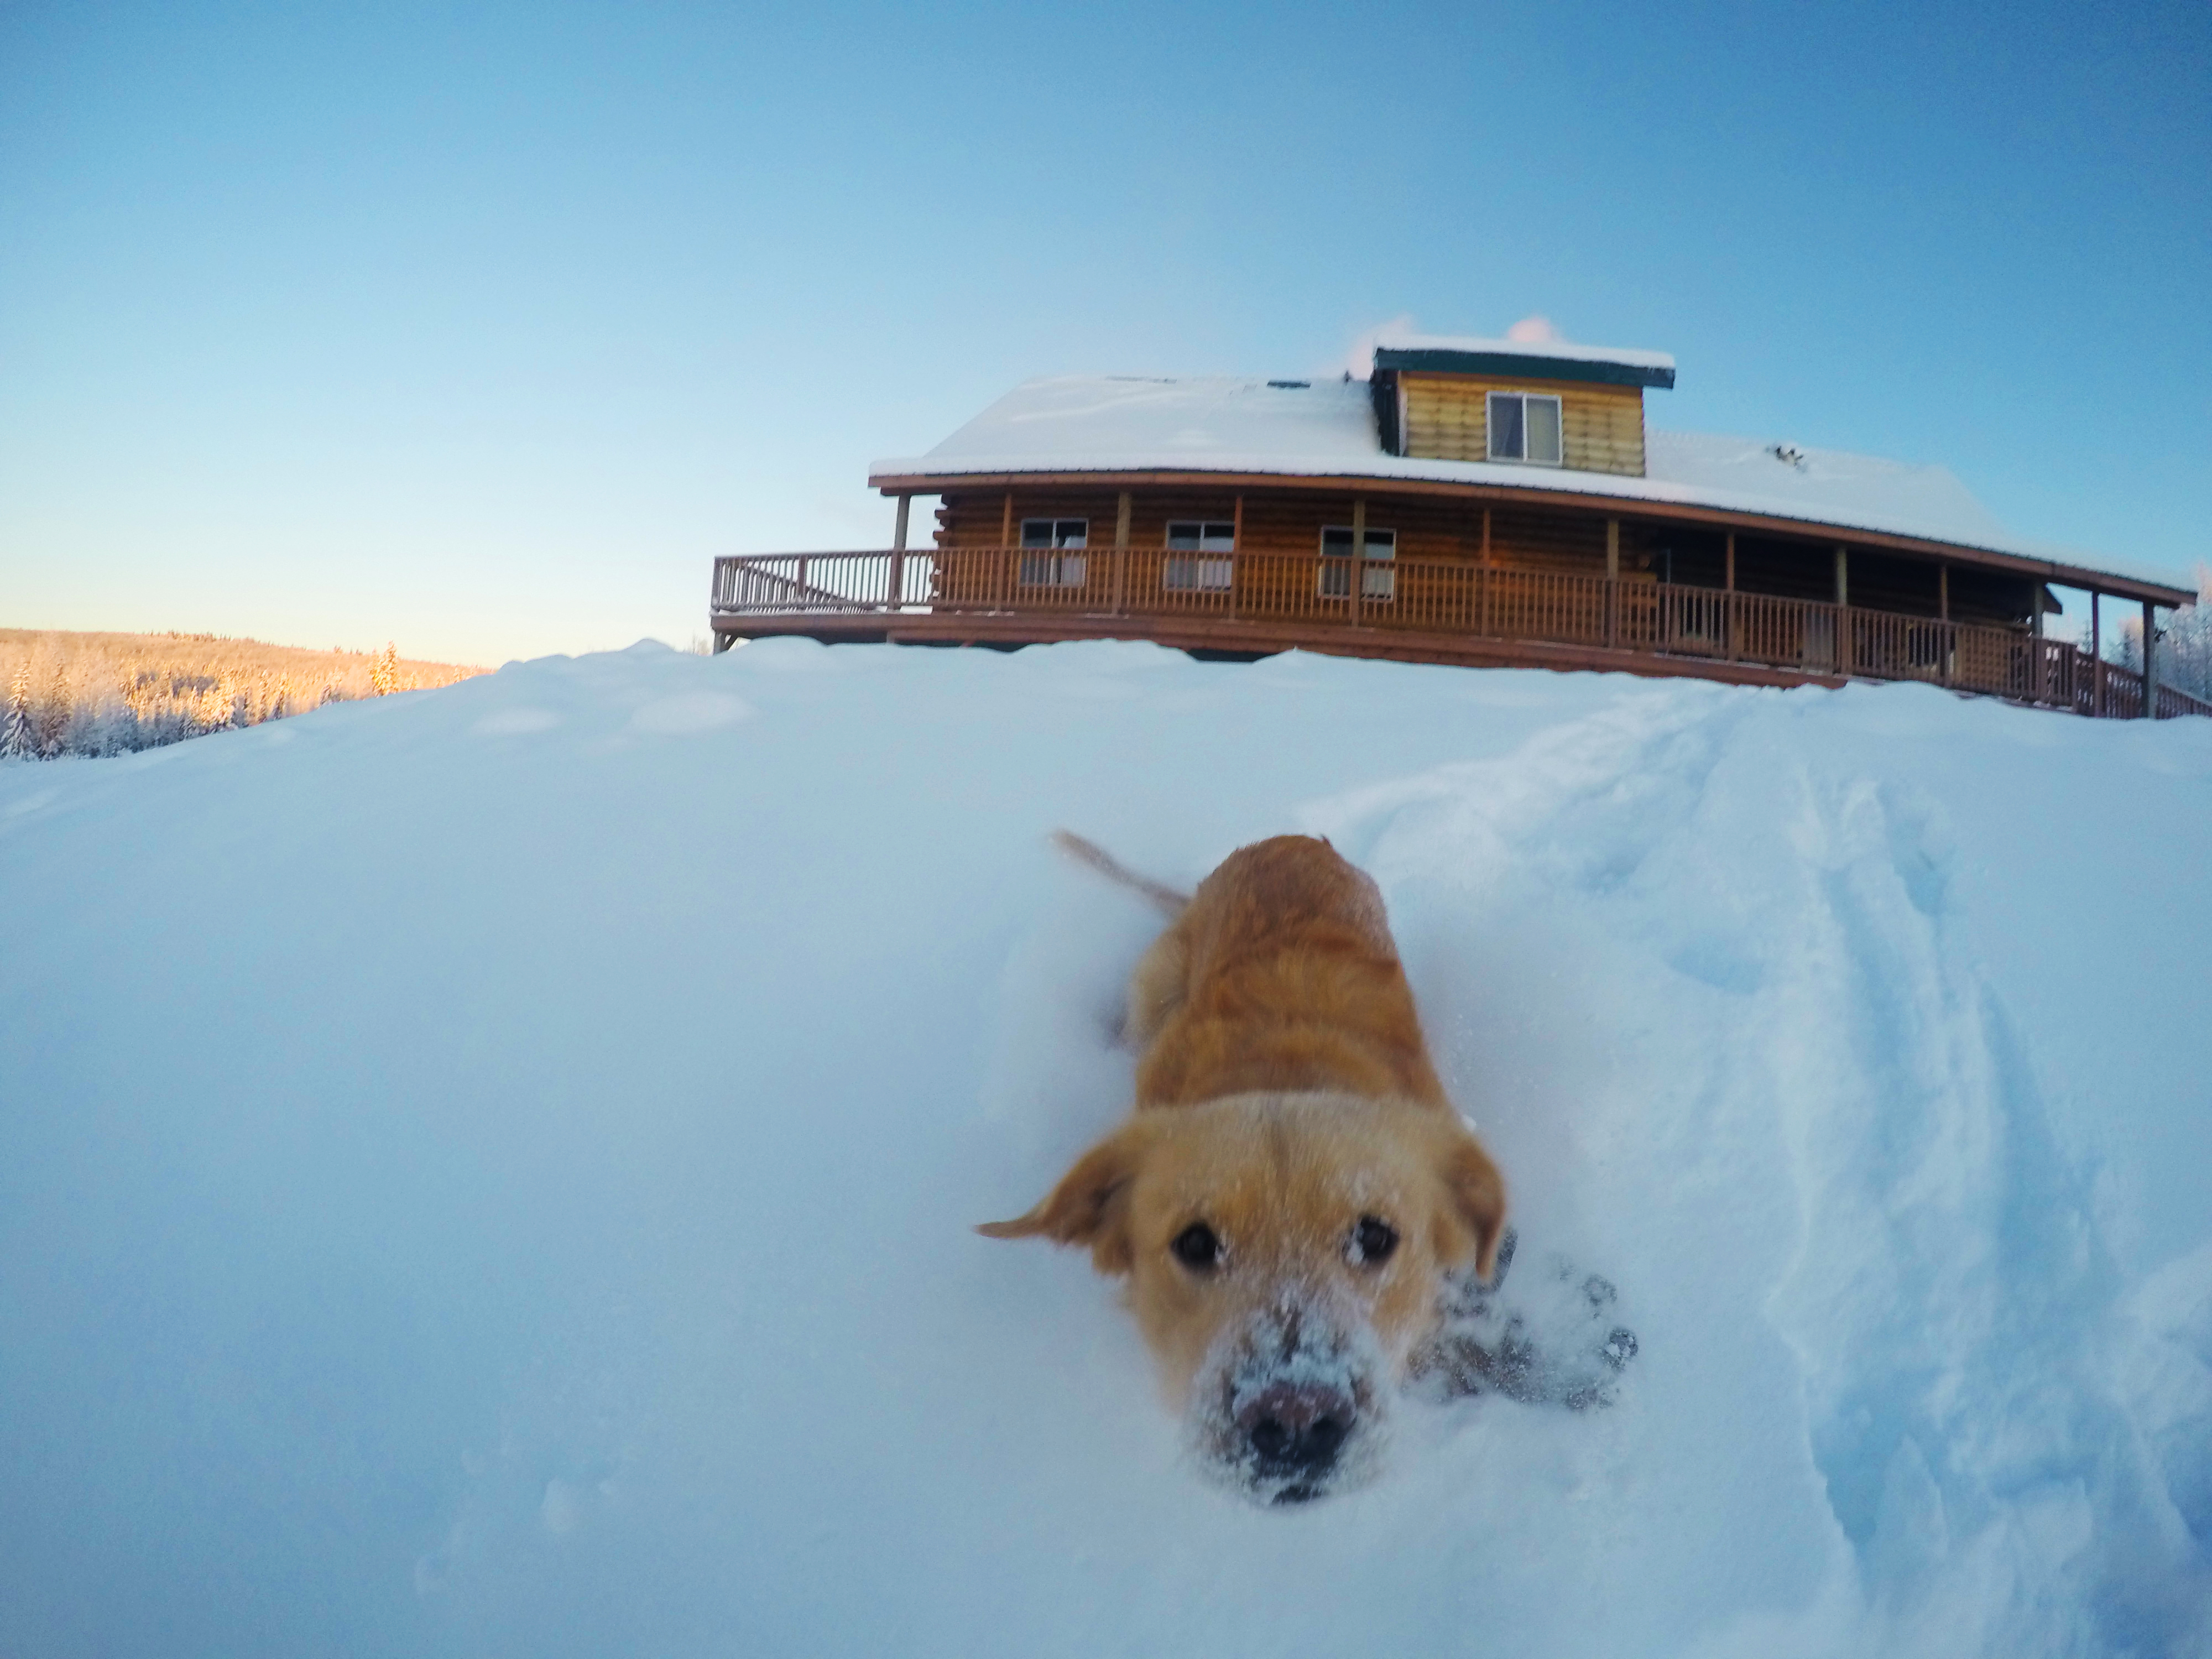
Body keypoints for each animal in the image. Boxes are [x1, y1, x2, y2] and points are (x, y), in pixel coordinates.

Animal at [982, 832, 1513, 1504]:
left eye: (1375, 1237)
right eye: (1194, 1243)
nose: (1296, 1419)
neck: (1282, 1074)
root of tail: (1279, 841)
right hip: (1152, 985)